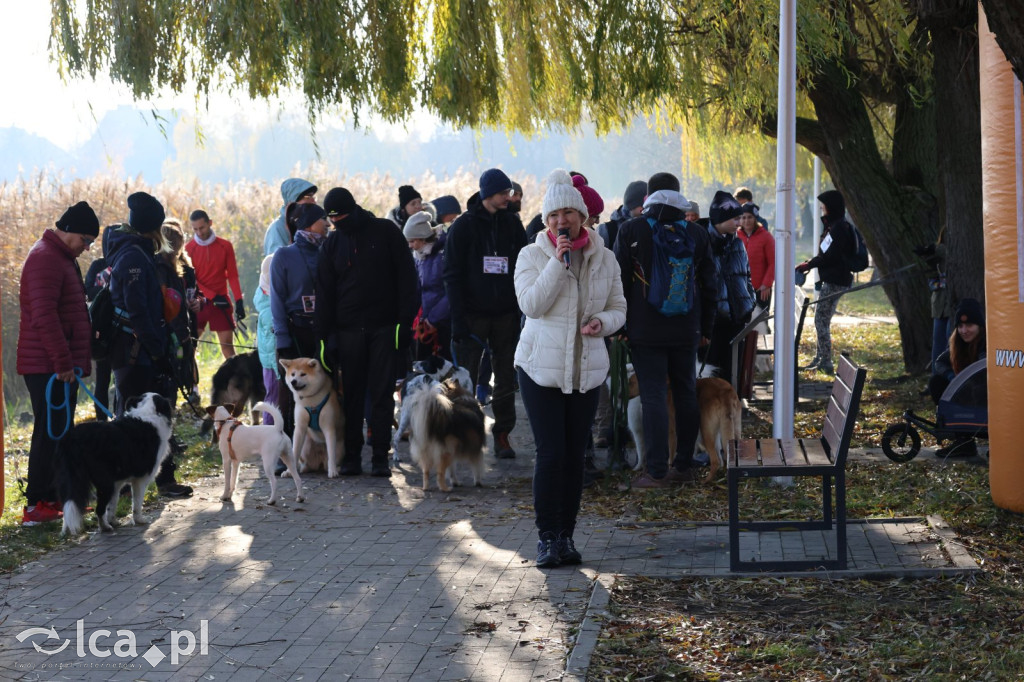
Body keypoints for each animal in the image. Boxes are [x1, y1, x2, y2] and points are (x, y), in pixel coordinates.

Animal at [56, 391, 175, 532]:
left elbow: (112, 504)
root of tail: (72, 437)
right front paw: (139, 520)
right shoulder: (140, 479)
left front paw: (114, 521)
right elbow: (137, 503)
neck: (148, 412)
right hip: (104, 481)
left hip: (74, 477)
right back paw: (105, 527)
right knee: (99, 508)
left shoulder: (117, 482)